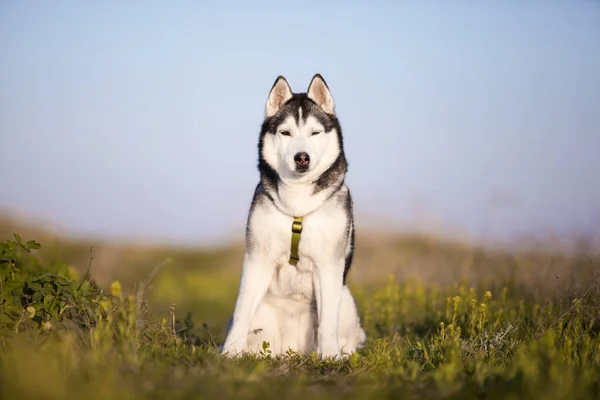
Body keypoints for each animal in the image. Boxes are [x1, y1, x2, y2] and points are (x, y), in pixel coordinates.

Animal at [220, 75, 366, 360]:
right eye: (285, 133)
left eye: (315, 133)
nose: (302, 157)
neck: (297, 203)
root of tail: (293, 349)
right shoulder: (258, 258)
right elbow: (241, 312)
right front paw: (229, 353)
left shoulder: (328, 265)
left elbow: (327, 323)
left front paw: (329, 357)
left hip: (346, 302)